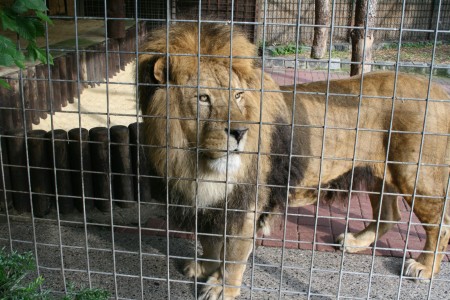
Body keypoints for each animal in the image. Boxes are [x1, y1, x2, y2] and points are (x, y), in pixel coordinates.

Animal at [137, 22, 450, 298]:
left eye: (238, 96)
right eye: (203, 98)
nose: (240, 132)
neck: (197, 161)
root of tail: (439, 89)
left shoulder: (245, 202)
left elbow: (234, 254)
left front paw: (222, 288)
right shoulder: (208, 202)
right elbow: (211, 242)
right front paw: (205, 267)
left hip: (416, 176)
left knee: (440, 224)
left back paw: (424, 267)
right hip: (379, 174)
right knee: (389, 215)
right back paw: (355, 242)